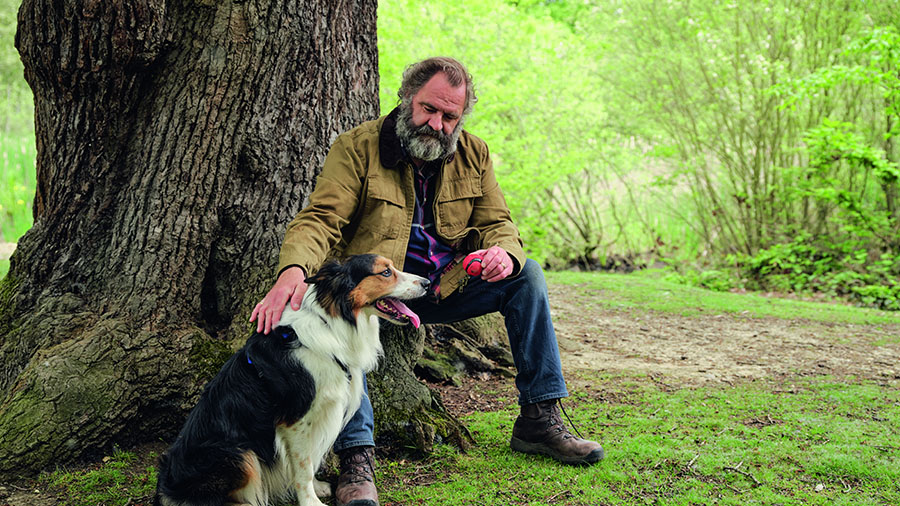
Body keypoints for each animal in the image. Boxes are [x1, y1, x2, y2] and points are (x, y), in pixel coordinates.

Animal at [155, 256, 428, 506]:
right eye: (385, 272)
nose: (426, 283)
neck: (332, 324)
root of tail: (165, 487)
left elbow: (310, 461)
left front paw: (317, 488)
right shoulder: (296, 420)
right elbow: (303, 466)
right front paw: (310, 501)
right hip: (238, 453)